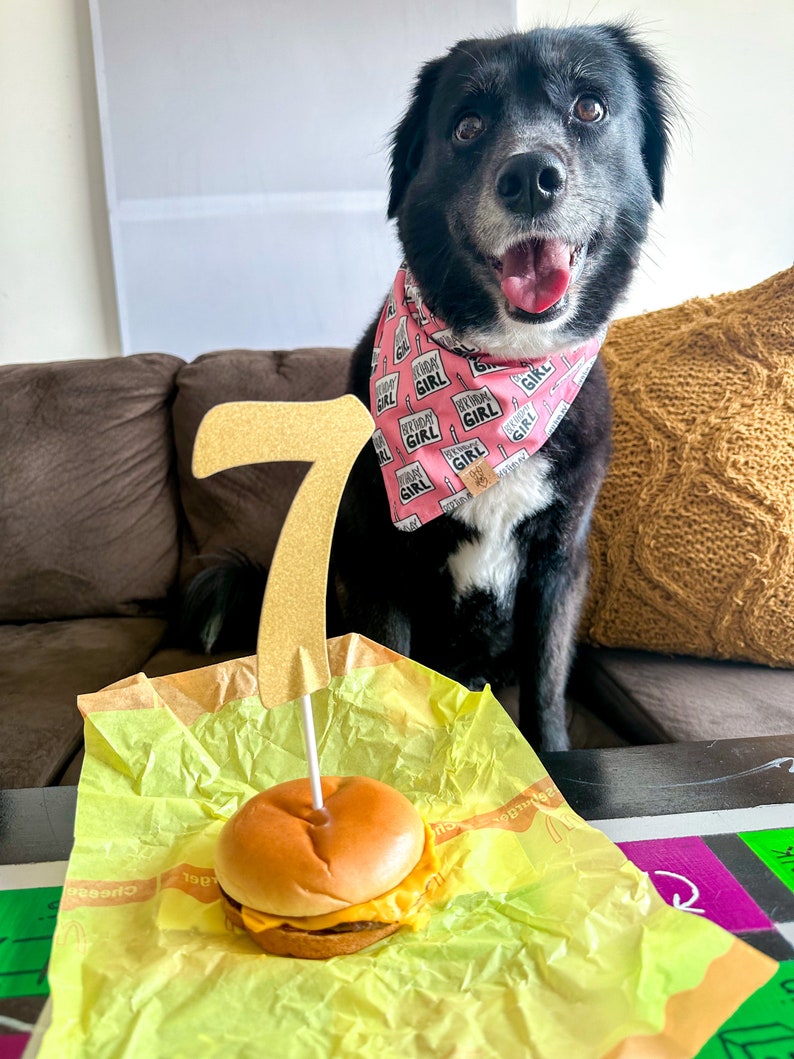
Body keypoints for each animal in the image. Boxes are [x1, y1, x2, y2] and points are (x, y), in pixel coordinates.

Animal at [332, 24, 673, 754]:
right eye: (467, 125)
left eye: (590, 108)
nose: (530, 179)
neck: (500, 373)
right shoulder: (378, 568)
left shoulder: (560, 567)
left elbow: (546, 684)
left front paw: (552, 760)